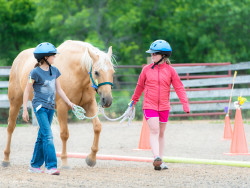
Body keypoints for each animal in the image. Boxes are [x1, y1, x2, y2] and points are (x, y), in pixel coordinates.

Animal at [1, 39, 114, 167]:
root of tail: (18, 58)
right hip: (15, 102)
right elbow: (64, 134)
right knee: (10, 127)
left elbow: (97, 127)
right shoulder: (62, 107)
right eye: (96, 72)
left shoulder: (89, 104)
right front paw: (64, 161)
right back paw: (6, 159)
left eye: (113, 72)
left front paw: (91, 158)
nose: (107, 100)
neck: (75, 72)